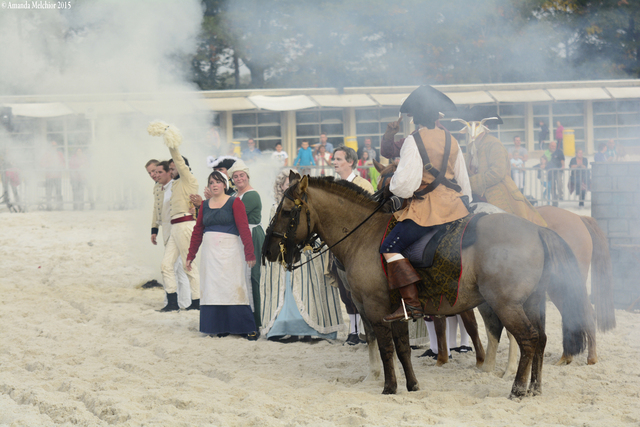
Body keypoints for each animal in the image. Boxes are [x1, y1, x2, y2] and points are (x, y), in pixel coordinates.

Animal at [262, 172, 592, 400]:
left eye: (287, 211)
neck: (364, 235)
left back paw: (518, 388)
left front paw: (390, 387)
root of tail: (535, 229)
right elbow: (403, 349)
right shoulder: (397, 310)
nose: (268, 250)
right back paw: (534, 387)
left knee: (527, 340)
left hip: (506, 305)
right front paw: (412, 385)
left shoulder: (375, 309)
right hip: (530, 302)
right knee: (540, 340)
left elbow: (386, 349)